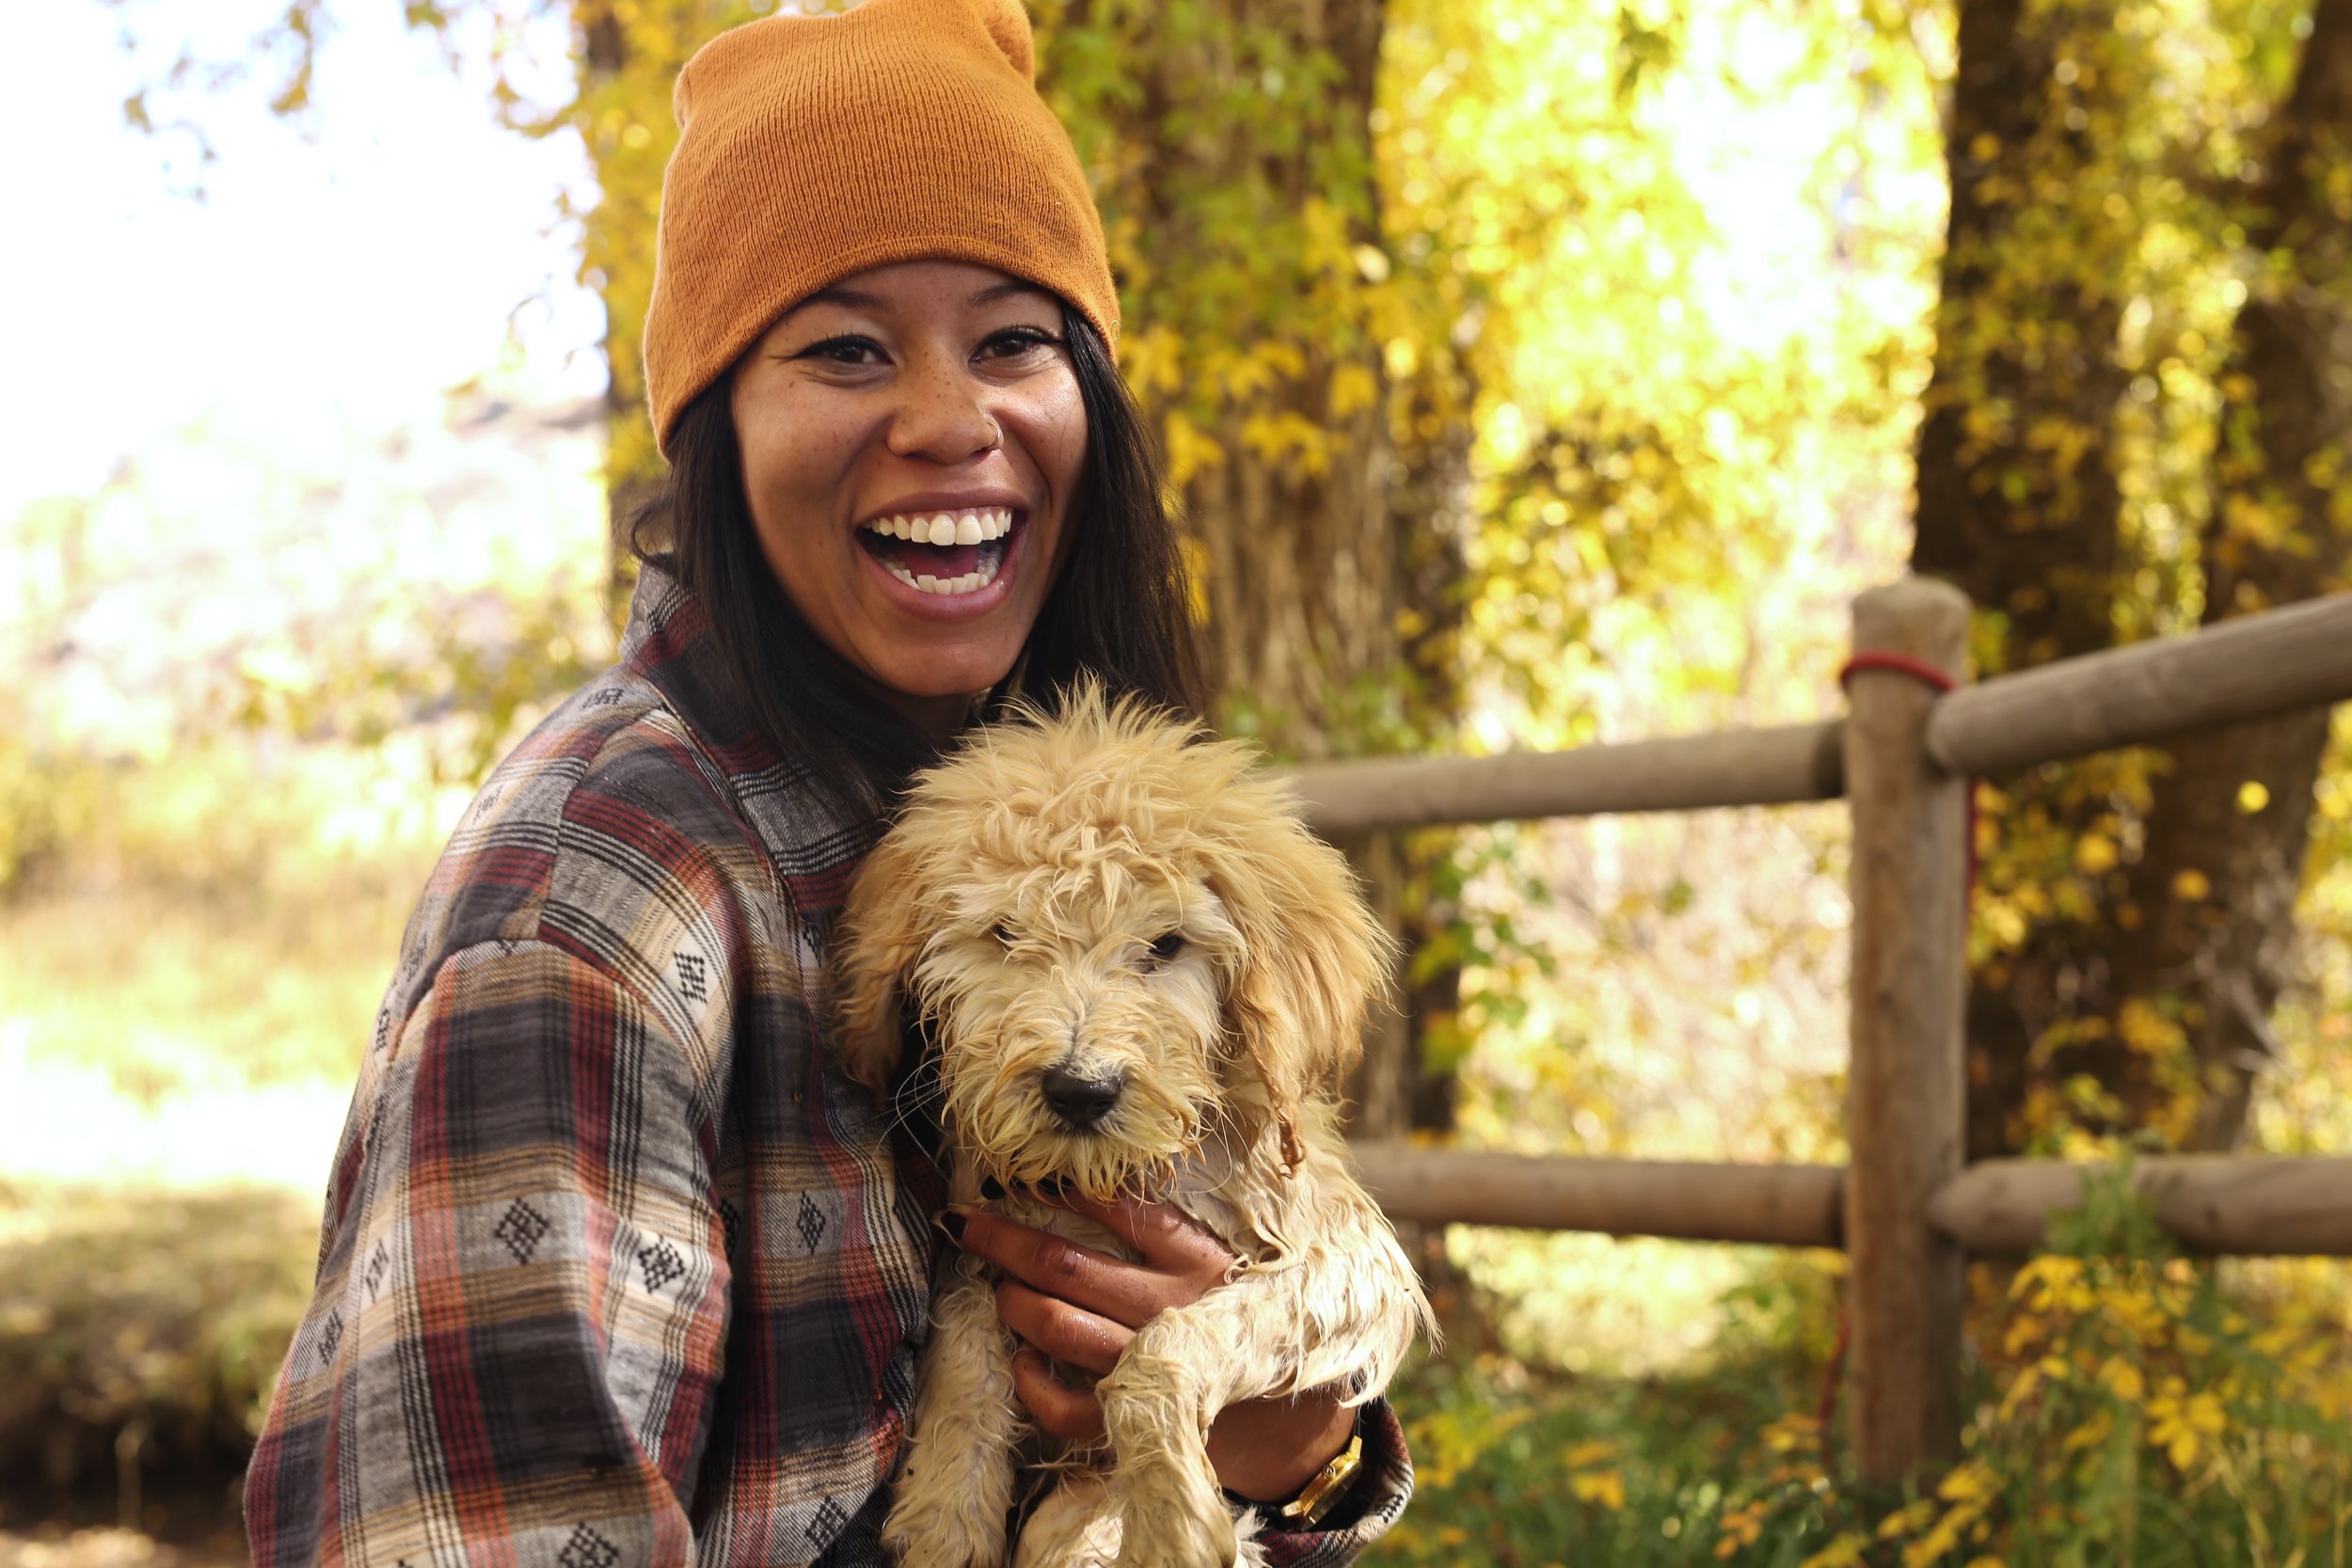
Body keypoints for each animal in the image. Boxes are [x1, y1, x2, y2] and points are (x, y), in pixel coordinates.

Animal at [837, 686, 1439, 1568]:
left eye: (1166, 943)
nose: (1078, 1089)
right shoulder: (982, 1230)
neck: (1113, 1171)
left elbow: (1158, 1350)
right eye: (1004, 933)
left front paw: (1170, 1520)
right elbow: (967, 1352)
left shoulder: (1354, 1265)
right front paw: (946, 1512)